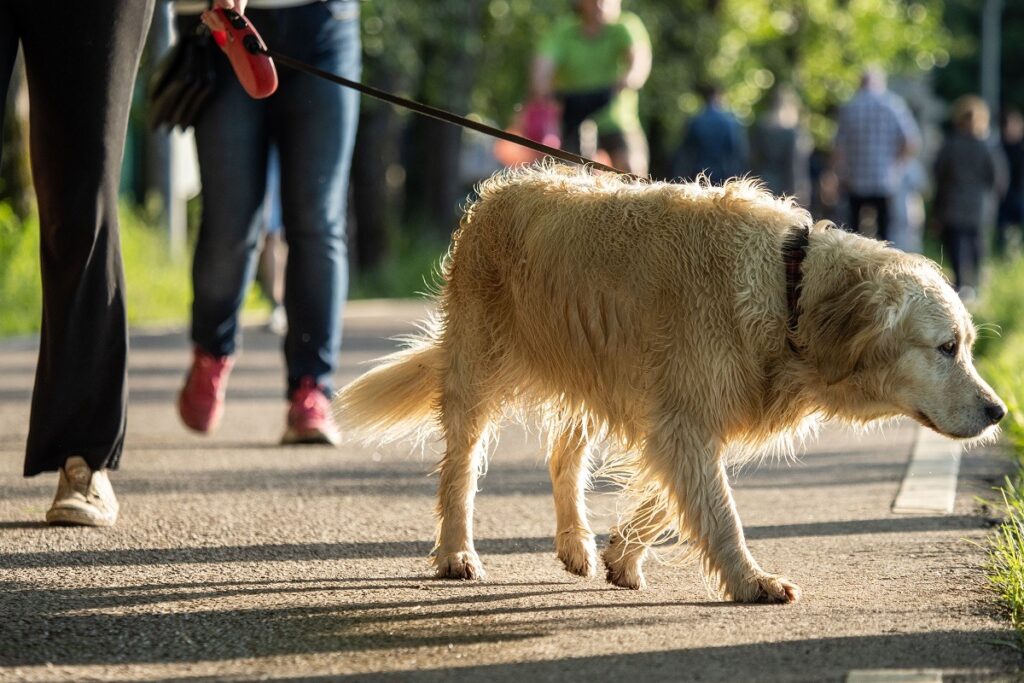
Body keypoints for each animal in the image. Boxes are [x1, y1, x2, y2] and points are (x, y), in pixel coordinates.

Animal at [331, 163, 1003, 602]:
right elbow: (717, 511)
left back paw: (575, 543)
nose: (998, 411)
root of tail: (493, 193)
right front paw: (751, 582)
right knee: (460, 469)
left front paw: (621, 555)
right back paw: (456, 553)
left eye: (967, 346)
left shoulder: (683, 418)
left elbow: (668, 501)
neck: (789, 290)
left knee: (563, 458)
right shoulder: (682, 417)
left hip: (590, 375)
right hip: (479, 370)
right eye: (946, 348)